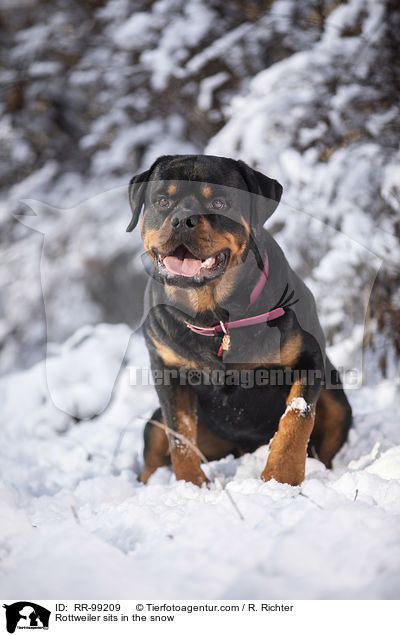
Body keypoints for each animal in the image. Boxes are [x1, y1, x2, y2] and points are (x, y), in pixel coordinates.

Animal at [126, 154, 352, 486]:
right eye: (163, 201)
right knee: (156, 446)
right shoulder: (167, 371)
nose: (182, 219)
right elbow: (179, 436)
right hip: (159, 423)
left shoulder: (307, 357)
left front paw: (280, 477)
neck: (214, 315)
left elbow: (297, 418)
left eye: (219, 202)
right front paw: (193, 485)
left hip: (336, 400)